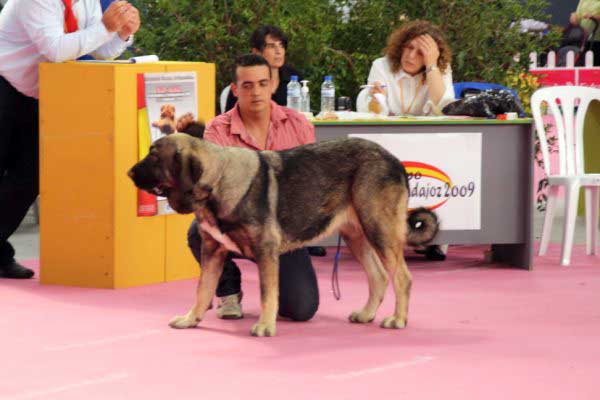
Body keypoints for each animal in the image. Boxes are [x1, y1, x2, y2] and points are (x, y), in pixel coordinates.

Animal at [127, 133, 436, 336]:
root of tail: (395, 161)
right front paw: (191, 319)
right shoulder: (212, 251)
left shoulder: (265, 252)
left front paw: (265, 326)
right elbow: (202, 290)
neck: (216, 183)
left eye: (154, 155)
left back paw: (397, 319)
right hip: (356, 235)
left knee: (402, 277)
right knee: (379, 276)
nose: (129, 173)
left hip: (378, 228)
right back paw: (366, 314)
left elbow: (267, 293)